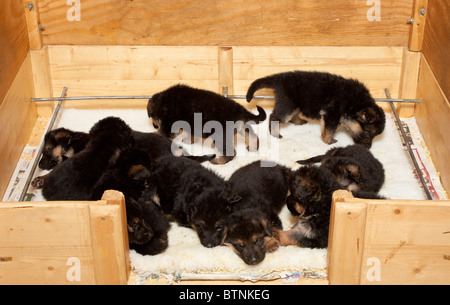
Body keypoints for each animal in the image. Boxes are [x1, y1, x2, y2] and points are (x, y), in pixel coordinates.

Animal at [244, 71, 384, 147]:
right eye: (368, 133)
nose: (368, 148)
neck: (355, 103)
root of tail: (280, 78)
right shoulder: (331, 114)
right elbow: (329, 129)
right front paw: (328, 140)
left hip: (296, 104)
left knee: (293, 115)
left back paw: (299, 121)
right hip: (288, 105)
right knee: (274, 117)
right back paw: (275, 134)